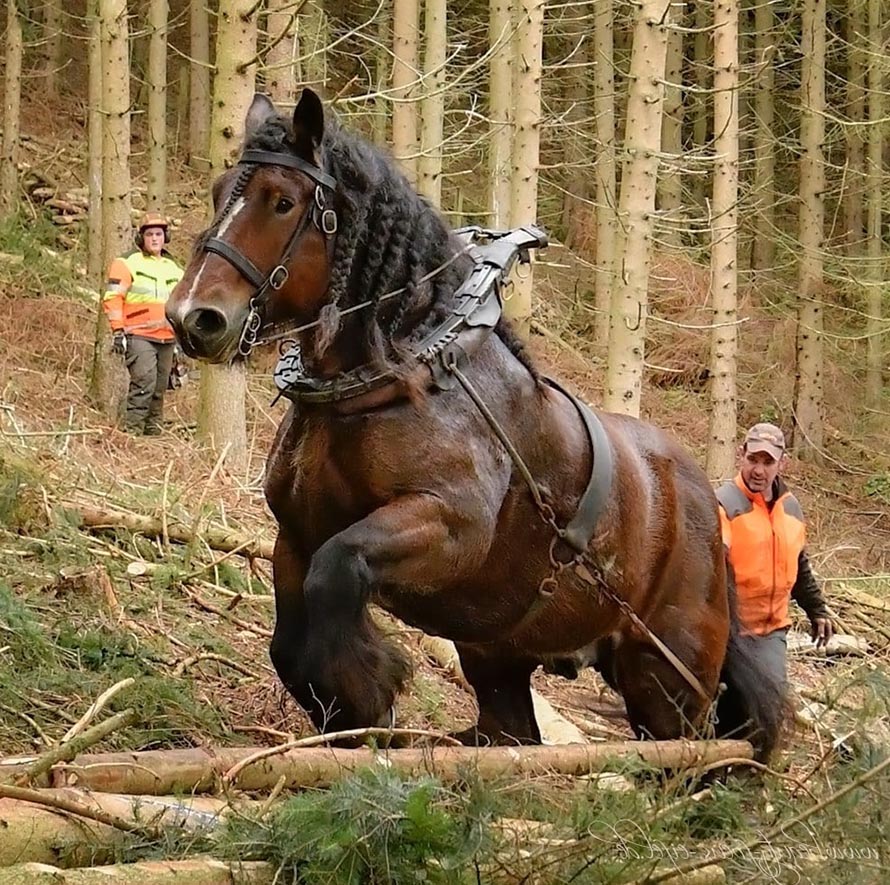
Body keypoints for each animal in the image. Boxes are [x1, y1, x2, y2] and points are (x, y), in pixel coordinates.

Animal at [166, 89, 783, 760]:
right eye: (220, 191)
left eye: (282, 201)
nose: (192, 318)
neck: (400, 373)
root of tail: (709, 506)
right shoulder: (296, 535)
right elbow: (291, 646)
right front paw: (356, 713)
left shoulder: (449, 526)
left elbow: (338, 572)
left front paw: (371, 686)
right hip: (500, 657)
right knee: (513, 733)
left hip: (667, 679)